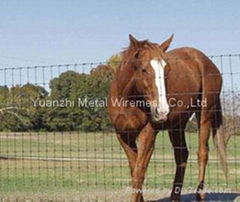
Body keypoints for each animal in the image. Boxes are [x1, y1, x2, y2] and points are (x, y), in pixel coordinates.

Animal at [107, 34, 227, 202]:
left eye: (167, 70)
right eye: (143, 69)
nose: (162, 111)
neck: (128, 101)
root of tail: (208, 63)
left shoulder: (148, 134)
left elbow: (139, 173)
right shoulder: (124, 135)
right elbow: (134, 169)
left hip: (204, 115)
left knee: (202, 153)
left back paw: (200, 195)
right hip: (177, 125)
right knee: (182, 155)